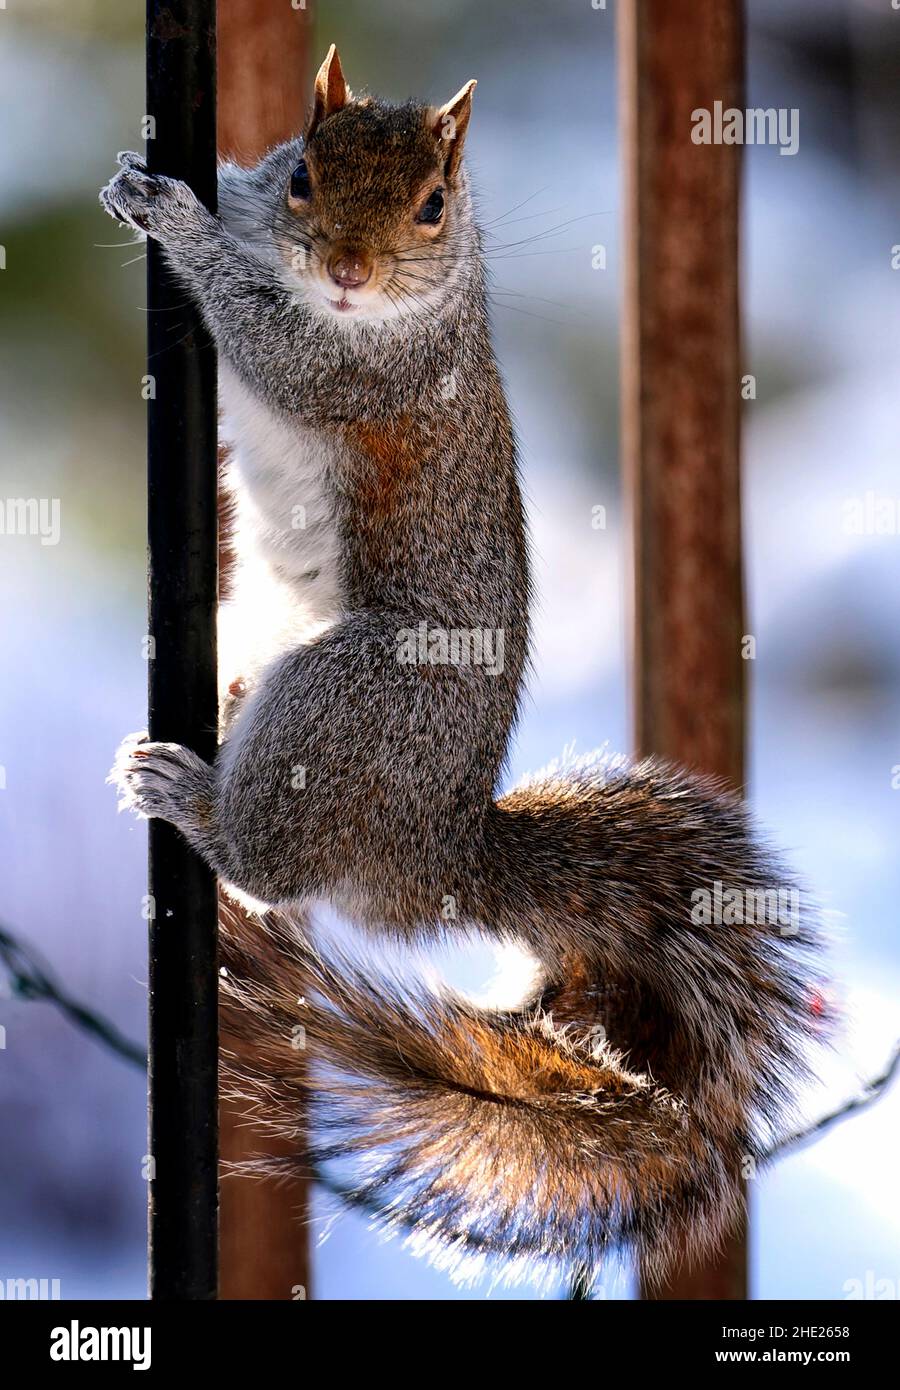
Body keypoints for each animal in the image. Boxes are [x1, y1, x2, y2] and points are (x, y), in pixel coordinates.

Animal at [101, 46, 824, 1285]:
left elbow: (270, 341)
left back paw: (194, 800)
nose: (349, 271)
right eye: (305, 174)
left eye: (436, 204)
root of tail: (437, 845)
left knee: (273, 868)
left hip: (350, 700)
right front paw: (159, 193)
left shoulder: (367, 367)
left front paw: (179, 226)